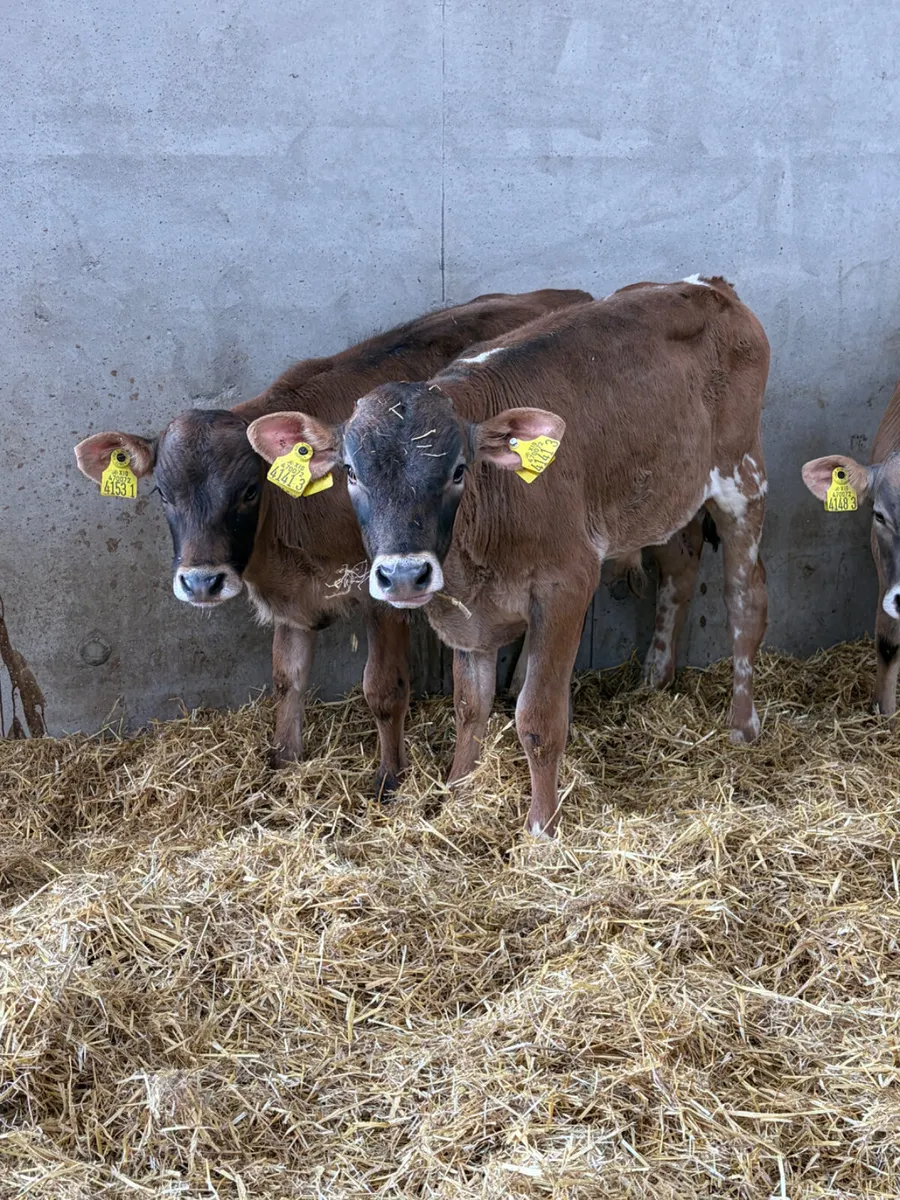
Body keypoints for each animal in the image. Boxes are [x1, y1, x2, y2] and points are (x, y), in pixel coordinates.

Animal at [74, 289, 592, 794]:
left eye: (249, 491)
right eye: (162, 493)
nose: (202, 582)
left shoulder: (383, 591)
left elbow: (383, 688)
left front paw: (389, 779)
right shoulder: (292, 606)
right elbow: (287, 679)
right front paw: (282, 763)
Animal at [247, 277, 770, 834]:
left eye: (459, 469)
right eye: (349, 472)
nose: (405, 576)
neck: (473, 559)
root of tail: (709, 286)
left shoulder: (566, 583)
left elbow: (537, 718)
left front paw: (541, 826)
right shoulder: (466, 614)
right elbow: (468, 705)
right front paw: (458, 791)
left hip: (743, 480)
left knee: (746, 599)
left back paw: (742, 725)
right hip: (667, 497)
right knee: (679, 570)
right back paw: (654, 679)